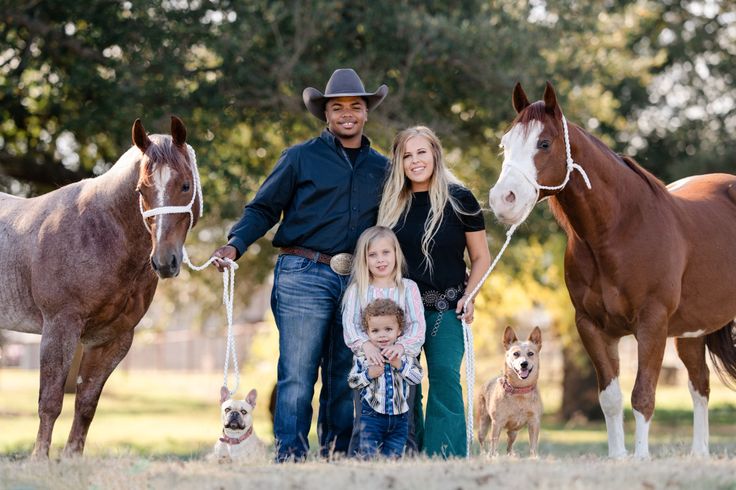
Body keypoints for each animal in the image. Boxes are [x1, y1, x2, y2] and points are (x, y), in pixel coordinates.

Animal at [0, 117, 201, 458]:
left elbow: (86, 404)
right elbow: (50, 402)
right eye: (141, 189)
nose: (164, 262)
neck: (99, 230)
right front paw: (39, 459)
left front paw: (70, 460)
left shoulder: (111, 338)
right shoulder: (59, 327)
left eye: (186, 185)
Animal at [488, 83, 736, 460]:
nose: (503, 199)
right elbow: (611, 398)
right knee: (700, 384)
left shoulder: (652, 324)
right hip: (692, 332)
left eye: (543, 143)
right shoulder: (593, 327)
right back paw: (699, 454)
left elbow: (643, 395)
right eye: (505, 143)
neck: (619, 231)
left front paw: (641, 457)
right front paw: (618, 458)